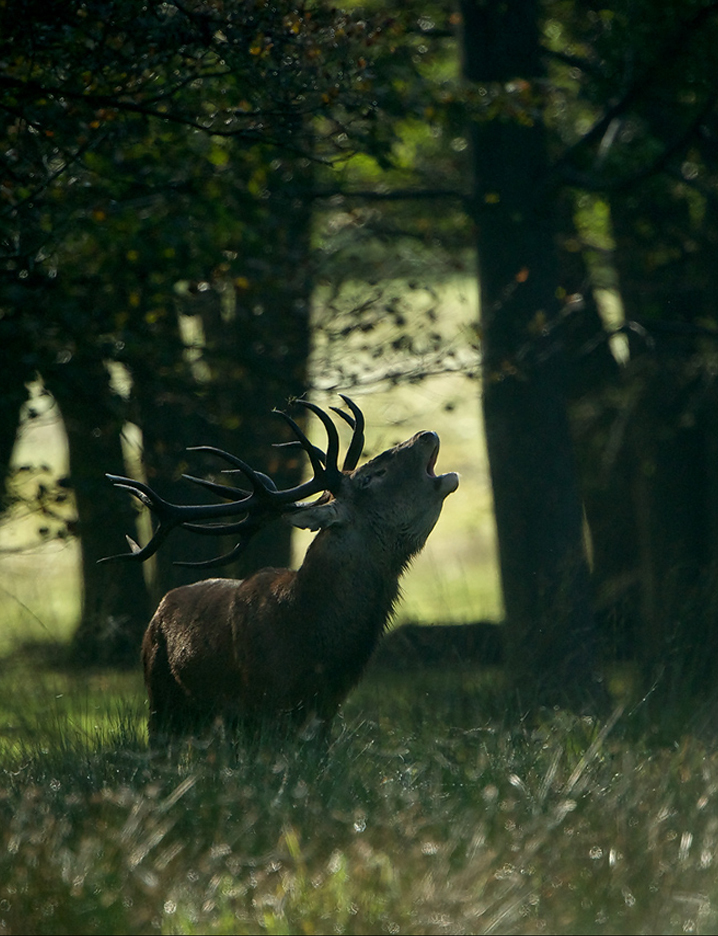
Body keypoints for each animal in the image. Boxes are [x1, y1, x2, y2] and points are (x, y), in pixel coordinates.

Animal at [102, 396, 459, 747]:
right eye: (371, 476)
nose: (426, 435)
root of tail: (159, 611)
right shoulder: (263, 705)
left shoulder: (324, 714)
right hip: (161, 700)